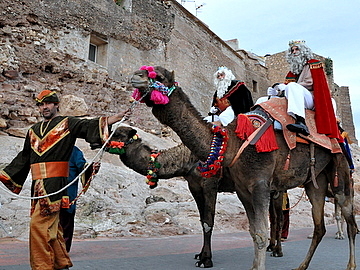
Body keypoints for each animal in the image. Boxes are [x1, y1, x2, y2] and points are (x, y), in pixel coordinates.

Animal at [129, 66, 358, 270]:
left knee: (348, 219)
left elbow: (231, 226)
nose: (135, 76)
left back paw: (345, 263)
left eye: (158, 76)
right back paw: (300, 265)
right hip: (314, 181)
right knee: (318, 226)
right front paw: (203, 256)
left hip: (339, 173)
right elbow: (251, 231)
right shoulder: (239, 189)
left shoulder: (251, 184)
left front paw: (206, 259)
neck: (230, 143)